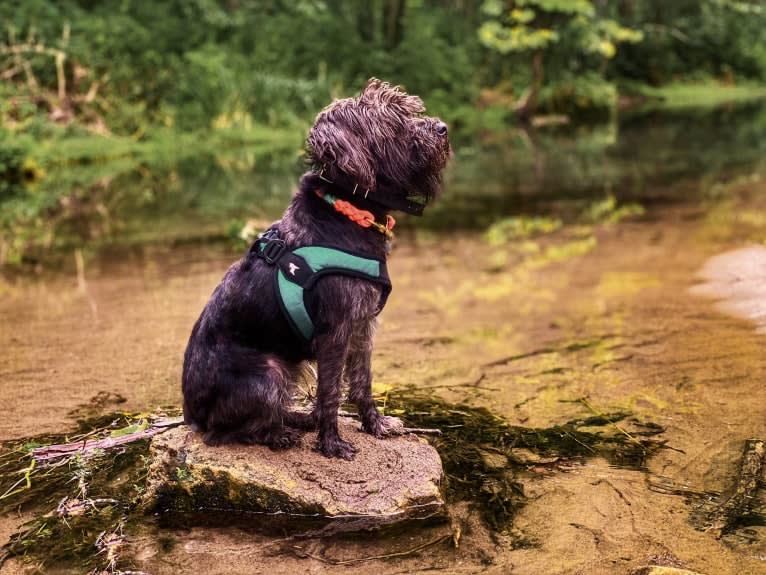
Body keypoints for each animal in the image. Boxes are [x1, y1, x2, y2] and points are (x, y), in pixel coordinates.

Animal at [183, 79, 452, 462]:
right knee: (225, 432)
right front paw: (332, 443)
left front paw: (376, 425)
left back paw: (296, 420)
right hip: (270, 371)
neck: (347, 211)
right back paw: (279, 433)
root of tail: (191, 414)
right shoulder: (335, 331)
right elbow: (330, 392)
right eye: (393, 122)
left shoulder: (362, 325)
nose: (442, 128)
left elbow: (362, 381)